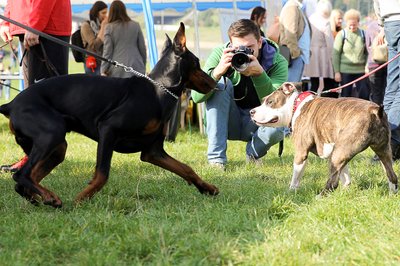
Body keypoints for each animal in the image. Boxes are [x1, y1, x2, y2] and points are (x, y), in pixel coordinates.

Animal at [0, 23, 219, 208]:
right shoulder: (108, 130)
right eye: (197, 63)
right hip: (51, 133)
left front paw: (207, 188)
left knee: (26, 180)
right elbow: (102, 175)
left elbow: (185, 168)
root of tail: (10, 104)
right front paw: (80, 199)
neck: (158, 90)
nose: (215, 83)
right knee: (22, 175)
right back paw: (49, 197)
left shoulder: (153, 151)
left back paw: (43, 199)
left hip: (57, 148)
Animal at [250, 82, 396, 194]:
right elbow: (345, 176)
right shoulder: (334, 153)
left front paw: (291, 191)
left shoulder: (301, 152)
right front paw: (346, 192)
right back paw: (391, 195)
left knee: (332, 183)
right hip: (382, 151)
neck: (296, 105)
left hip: (341, 152)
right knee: (392, 175)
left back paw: (319, 196)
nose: (251, 111)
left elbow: (296, 175)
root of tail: (375, 111)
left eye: (270, 102)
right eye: (263, 100)